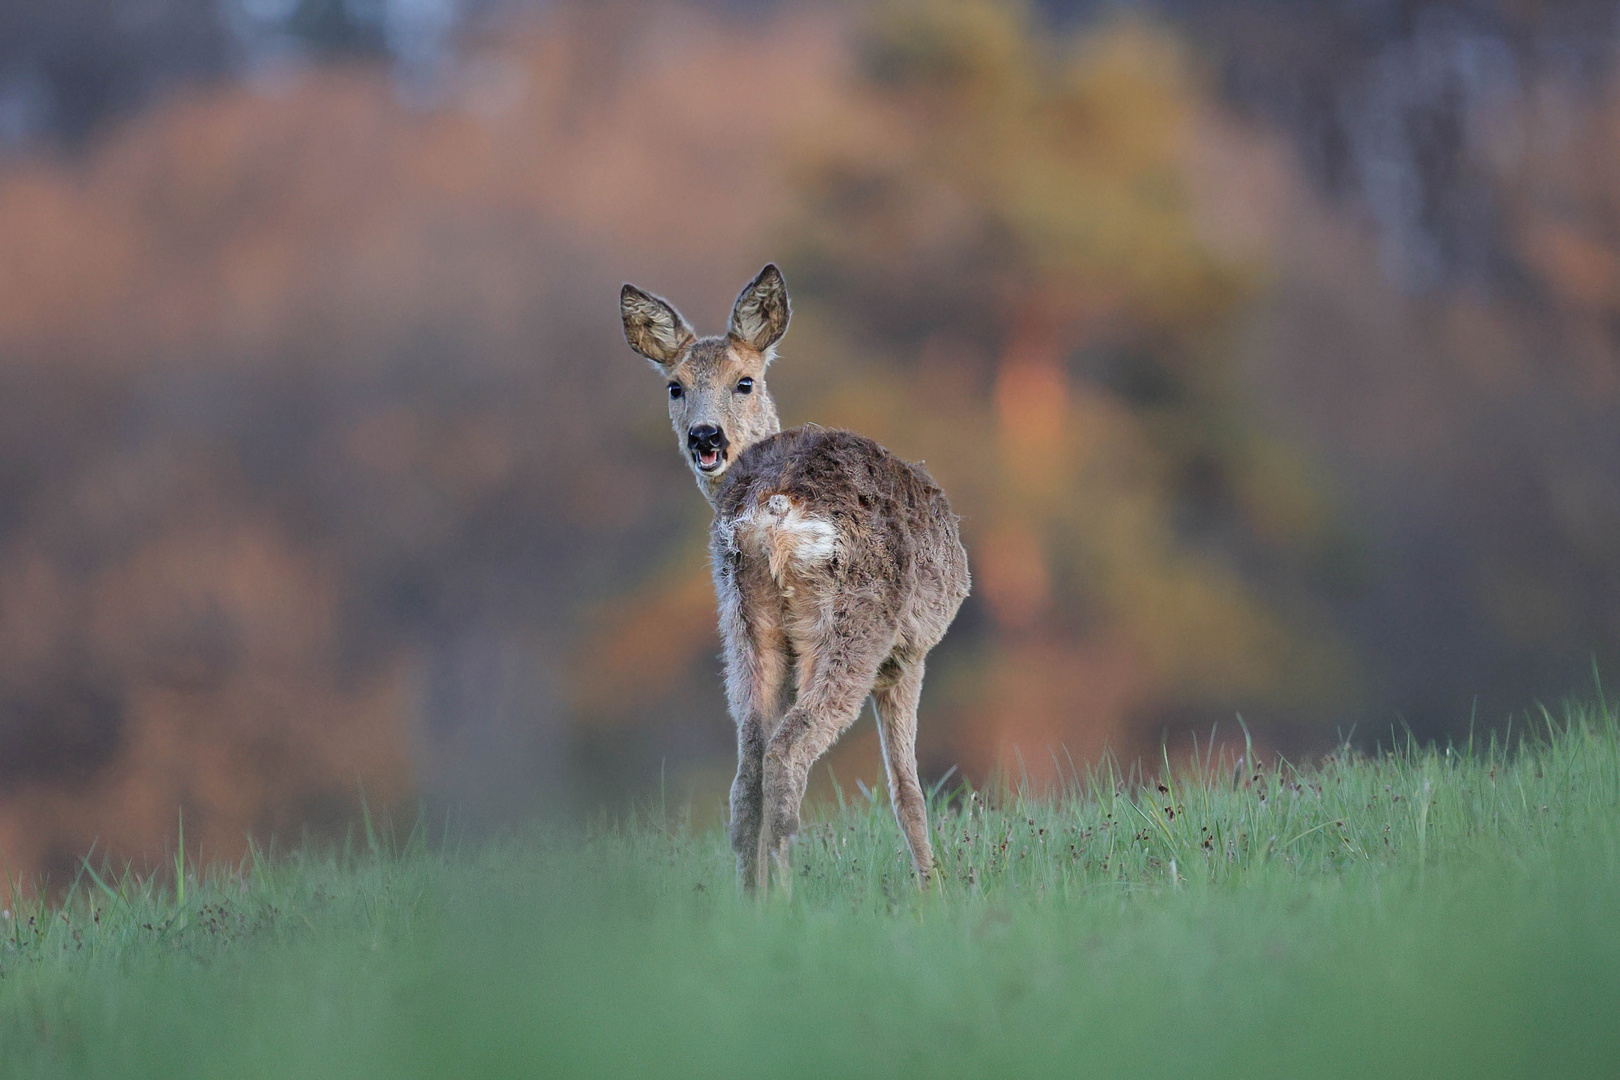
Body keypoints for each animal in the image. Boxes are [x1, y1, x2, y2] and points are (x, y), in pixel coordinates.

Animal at [622, 265, 972, 893]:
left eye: (744, 382)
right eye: (674, 386)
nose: (705, 437)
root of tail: (774, 503)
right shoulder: (908, 655)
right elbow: (906, 790)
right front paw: (932, 889)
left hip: (743, 620)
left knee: (749, 767)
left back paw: (752, 897)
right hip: (852, 623)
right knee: (788, 752)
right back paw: (785, 894)